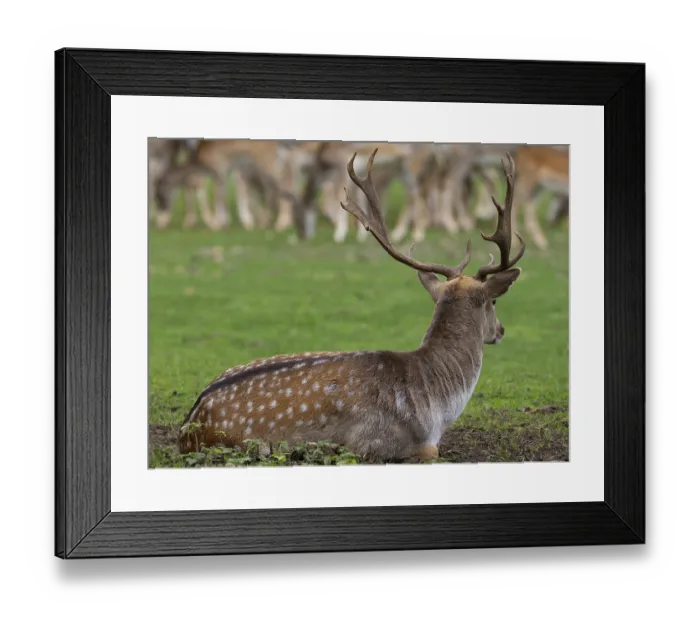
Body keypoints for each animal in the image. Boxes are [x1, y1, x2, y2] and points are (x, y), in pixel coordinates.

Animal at [178, 148, 525, 463]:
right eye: (494, 301)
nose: (501, 330)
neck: (436, 409)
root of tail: (187, 426)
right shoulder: (376, 442)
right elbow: (430, 450)